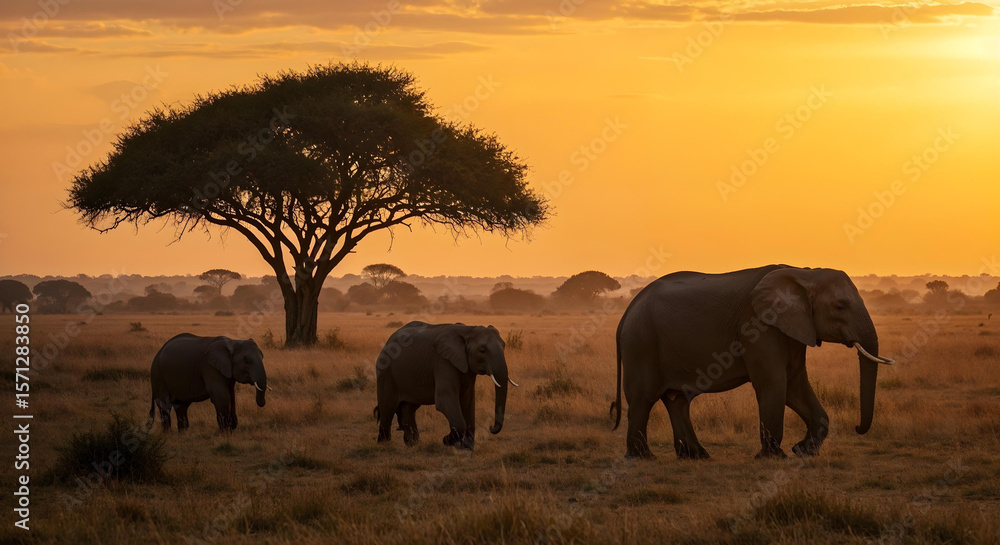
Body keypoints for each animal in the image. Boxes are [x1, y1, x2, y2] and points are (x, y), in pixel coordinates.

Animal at [374, 322, 517, 450]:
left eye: (504, 346)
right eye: (482, 350)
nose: (491, 427)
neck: (469, 330)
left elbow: (468, 401)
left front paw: (467, 447)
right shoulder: (444, 362)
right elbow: (444, 400)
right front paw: (447, 441)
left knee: (408, 409)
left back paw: (412, 443)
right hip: (385, 370)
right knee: (387, 408)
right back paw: (384, 445)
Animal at [611, 265, 894, 460]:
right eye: (840, 306)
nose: (857, 427)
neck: (804, 274)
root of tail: (627, 312)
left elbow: (794, 386)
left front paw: (802, 451)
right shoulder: (759, 327)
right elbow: (774, 385)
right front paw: (775, 457)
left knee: (677, 400)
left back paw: (696, 456)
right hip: (641, 342)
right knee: (643, 398)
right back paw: (642, 457)